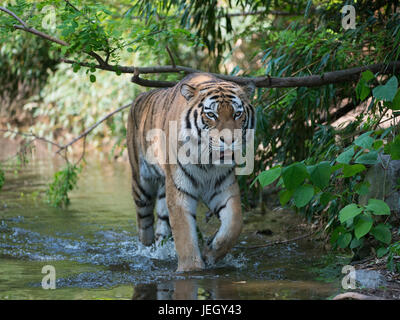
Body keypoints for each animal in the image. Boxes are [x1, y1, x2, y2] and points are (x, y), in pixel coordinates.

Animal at [126, 72, 255, 270]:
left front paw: (210, 253)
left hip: (164, 188)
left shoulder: (223, 186)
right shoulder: (180, 190)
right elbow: (184, 235)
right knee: (144, 222)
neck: (207, 162)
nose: (229, 140)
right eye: (211, 115)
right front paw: (191, 269)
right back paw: (146, 251)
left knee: (162, 224)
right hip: (142, 184)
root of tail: (139, 96)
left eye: (237, 114)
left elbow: (234, 224)